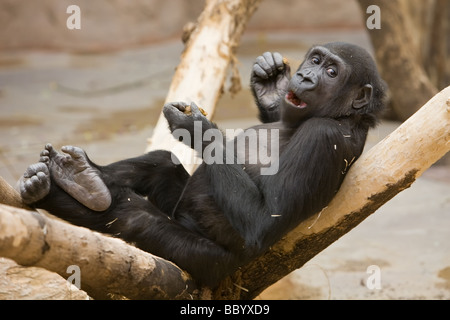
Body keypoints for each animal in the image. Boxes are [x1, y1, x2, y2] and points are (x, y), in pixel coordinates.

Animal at [19, 42, 386, 284]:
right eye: (315, 59)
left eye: (332, 72)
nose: (307, 76)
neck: (341, 116)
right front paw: (271, 83)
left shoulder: (324, 138)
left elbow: (265, 219)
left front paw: (196, 126)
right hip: (174, 201)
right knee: (162, 163)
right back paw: (79, 175)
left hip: (210, 262)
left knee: (134, 218)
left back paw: (83, 191)